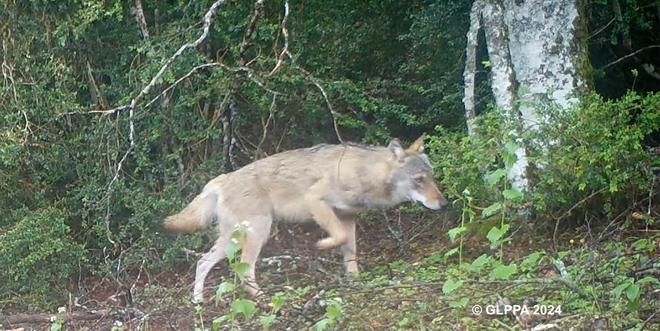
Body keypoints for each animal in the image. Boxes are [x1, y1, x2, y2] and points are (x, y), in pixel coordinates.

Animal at [164, 137, 448, 304]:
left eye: (432, 177)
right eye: (419, 180)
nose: (444, 204)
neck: (364, 173)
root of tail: (222, 179)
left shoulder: (348, 216)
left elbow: (351, 251)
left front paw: (355, 281)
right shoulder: (316, 202)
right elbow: (338, 238)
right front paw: (321, 246)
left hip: (232, 239)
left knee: (203, 262)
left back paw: (198, 301)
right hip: (258, 233)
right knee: (244, 268)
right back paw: (263, 298)